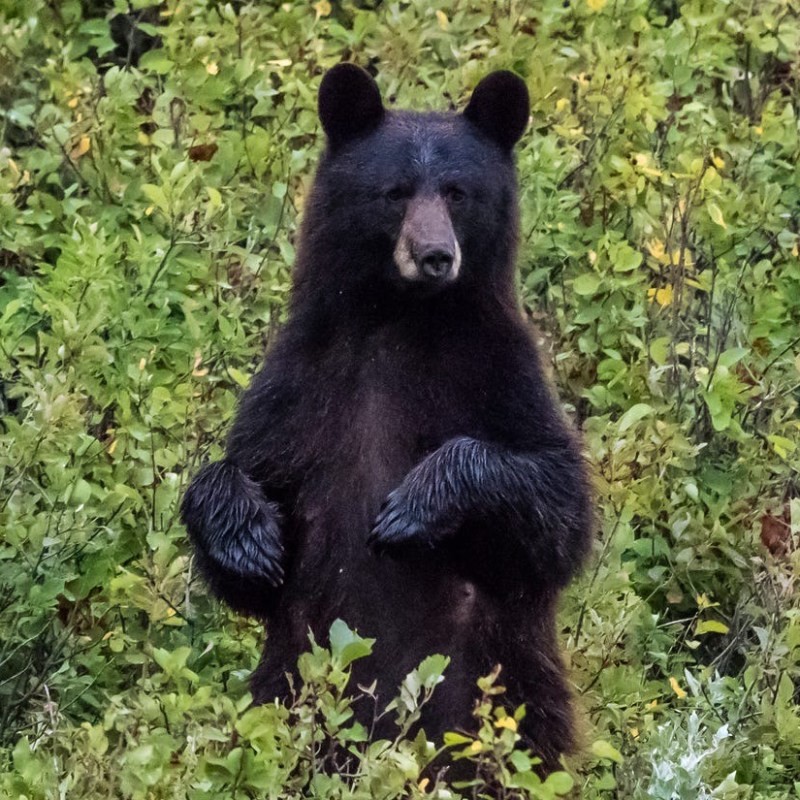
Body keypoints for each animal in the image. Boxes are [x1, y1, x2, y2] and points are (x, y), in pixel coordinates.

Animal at [181, 63, 593, 773]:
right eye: (394, 192)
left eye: (457, 192)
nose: (435, 255)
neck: (402, 320)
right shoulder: (303, 384)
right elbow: (249, 490)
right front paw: (248, 537)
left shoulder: (499, 373)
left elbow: (557, 510)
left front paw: (412, 507)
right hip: (286, 690)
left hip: (500, 701)